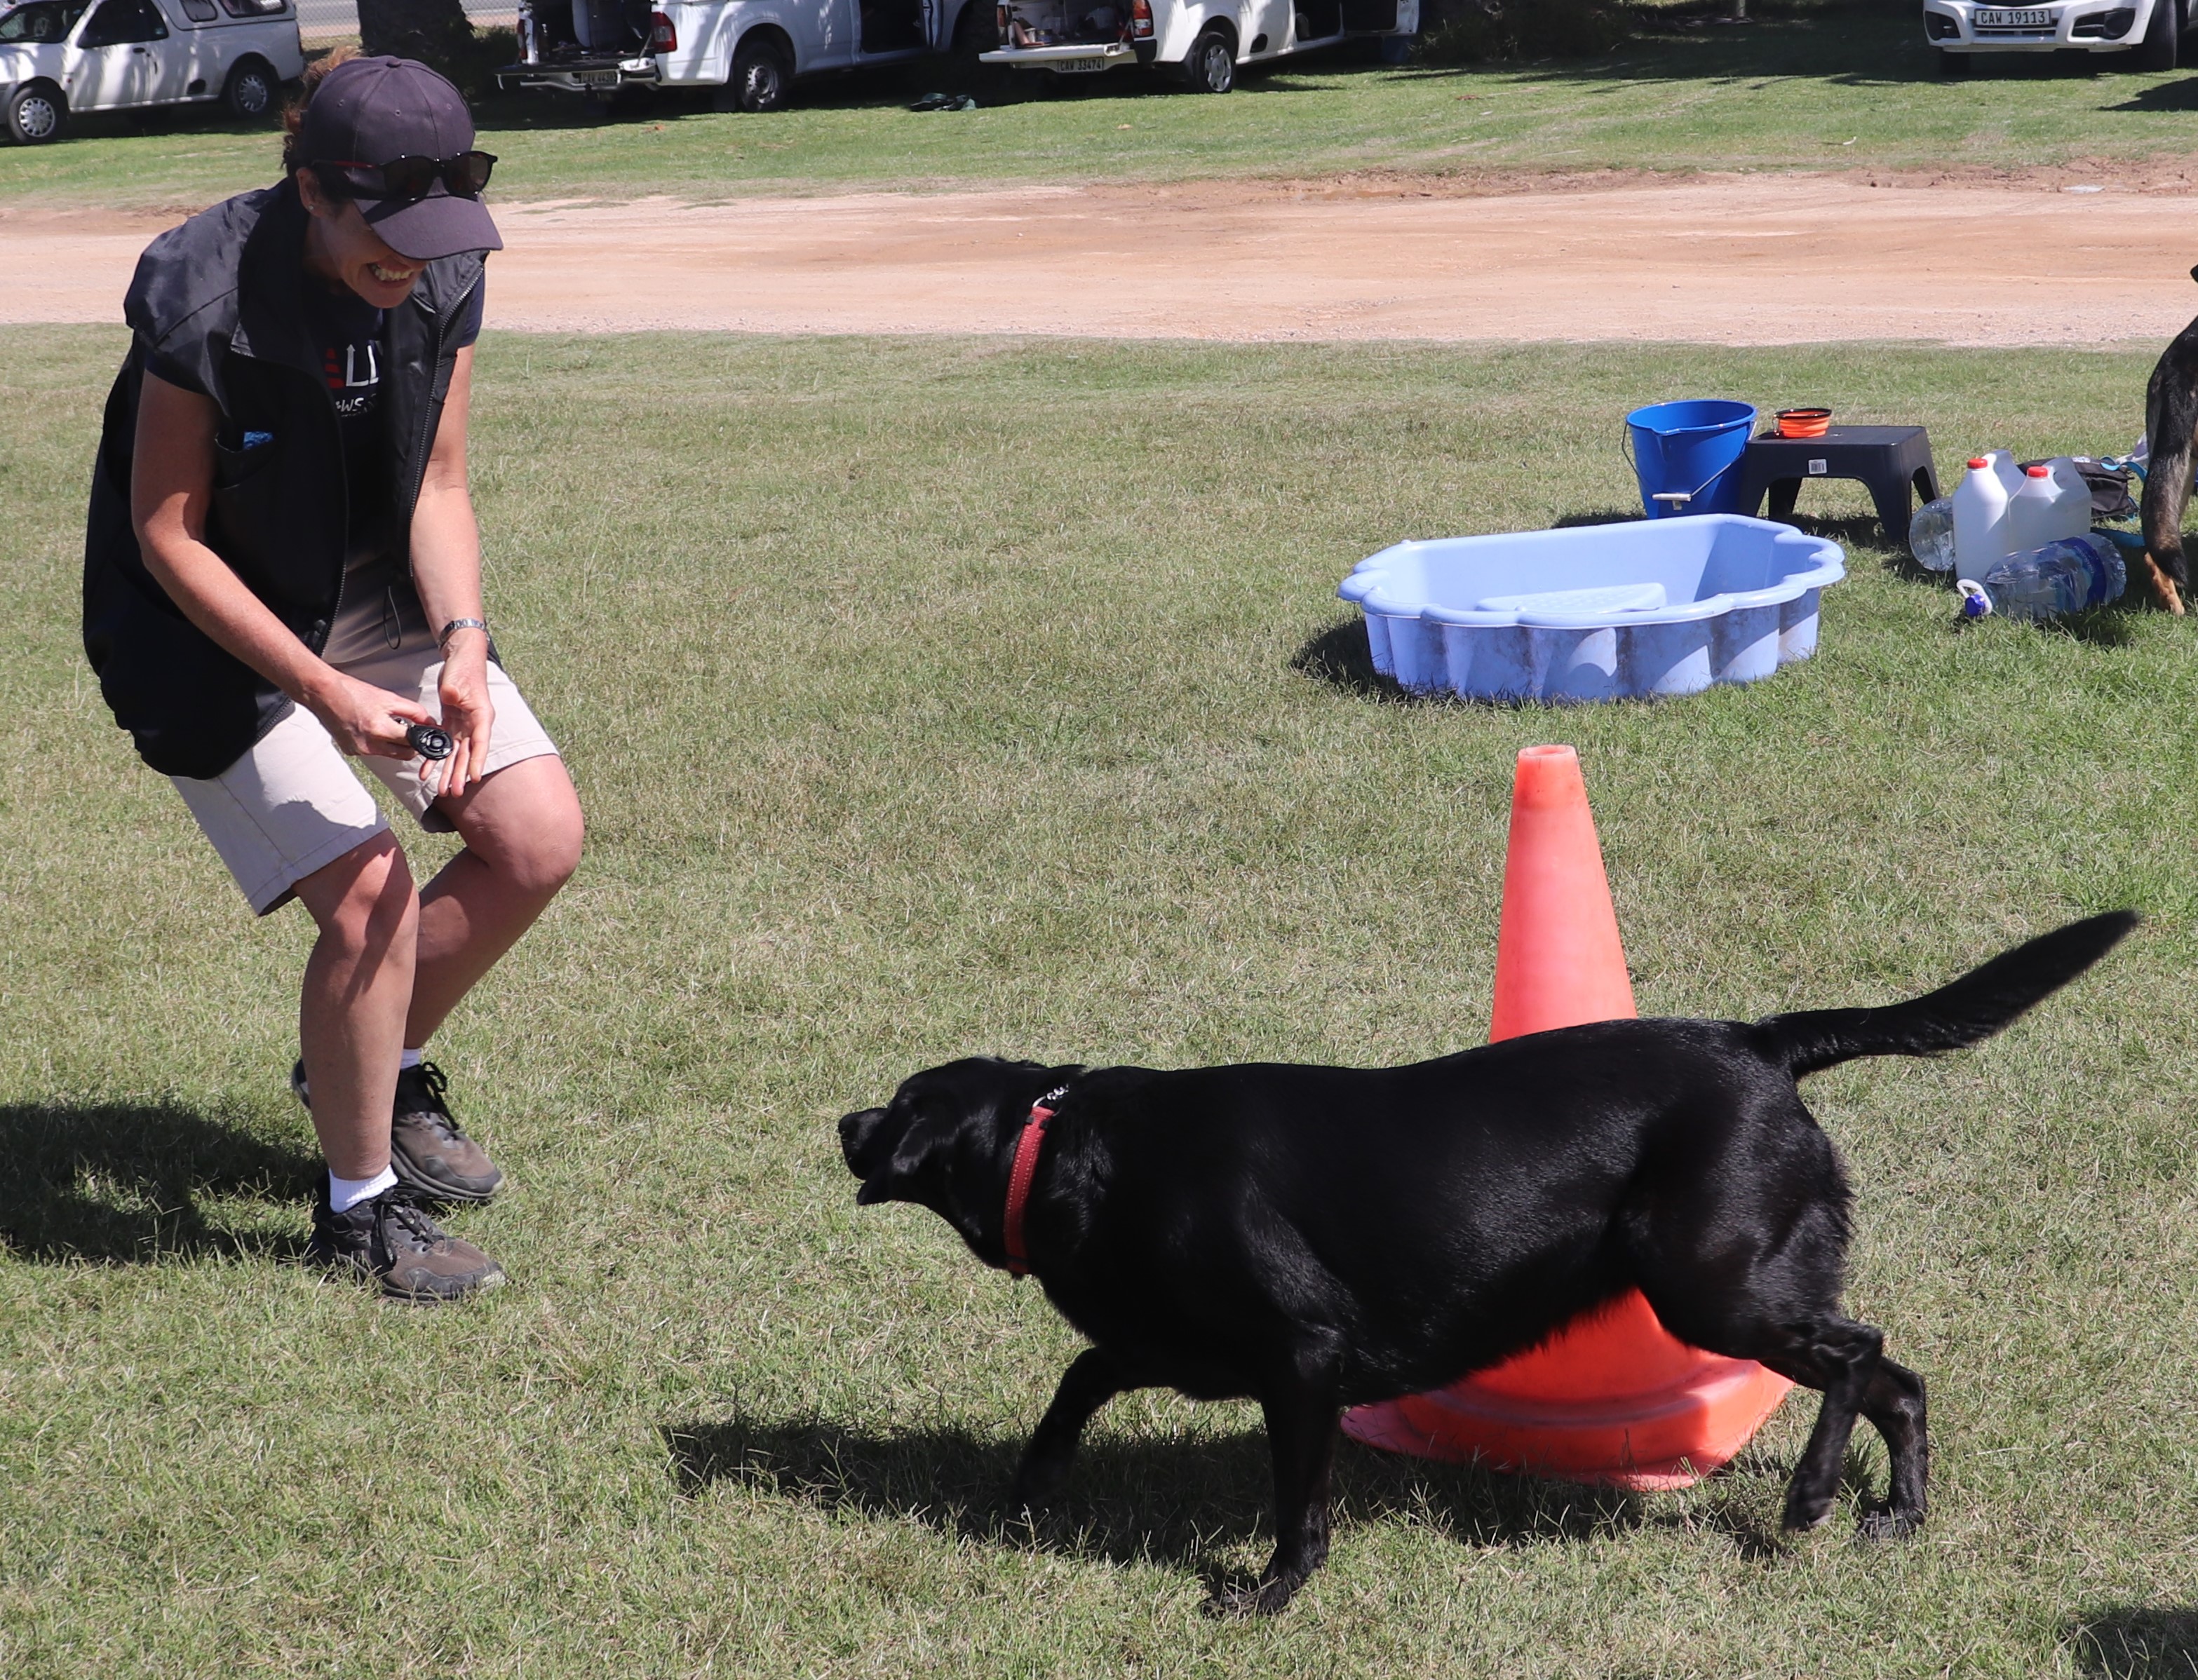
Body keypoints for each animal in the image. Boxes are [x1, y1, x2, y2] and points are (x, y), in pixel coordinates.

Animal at [839, 912, 2132, 1615]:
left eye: (900, 1104)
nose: (842, 1122)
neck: (1064, 1150)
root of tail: (1763, 1045)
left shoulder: (1299, 1359)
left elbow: (1296, 1502)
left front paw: (1267, 1594)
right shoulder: (1169, 1342)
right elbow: (1077, 1382)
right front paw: (1026, 1492)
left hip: (1707, 1286)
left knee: (1856, 1354)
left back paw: (1812, 1496)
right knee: (1897, 1379)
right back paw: (1894, 1515)